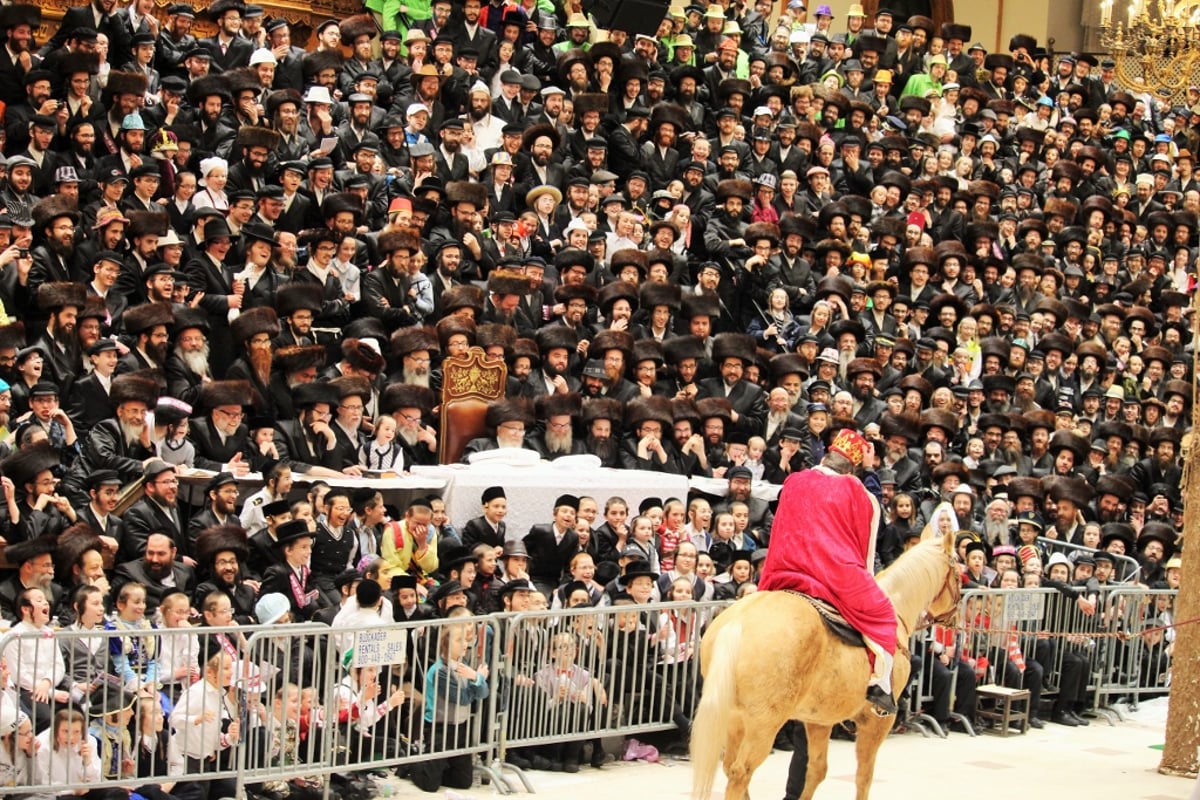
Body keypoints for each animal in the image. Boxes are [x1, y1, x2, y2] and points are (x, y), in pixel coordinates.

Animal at [691, 525, 960, 800]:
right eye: (959, 575)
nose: (955, 618)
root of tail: (738, 622)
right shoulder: (876, 722)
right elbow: (864, 776)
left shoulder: (819, 720)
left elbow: (816, 770)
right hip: (763, 723)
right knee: (740, 773)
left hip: (735, 718)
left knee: (730, 768)